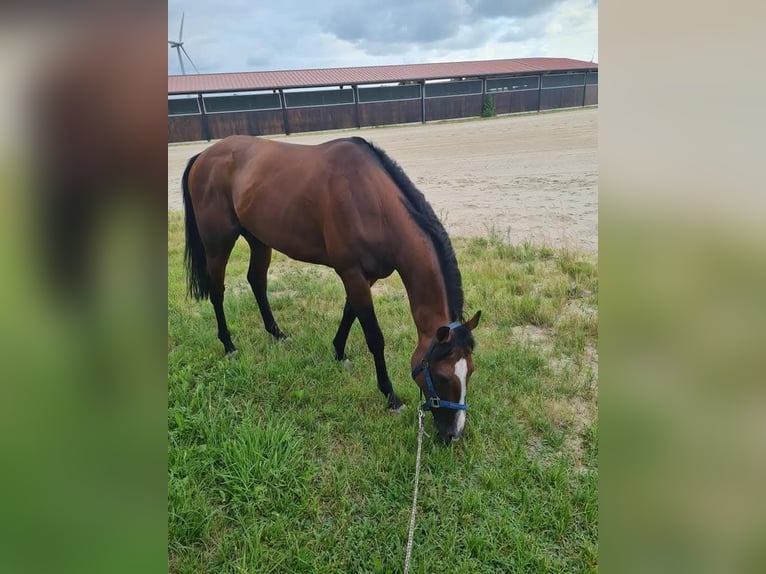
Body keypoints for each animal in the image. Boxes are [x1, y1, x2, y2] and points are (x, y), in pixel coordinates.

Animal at [182, 135, 480, 446]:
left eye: (470, 372)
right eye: (443, 376)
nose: (453, 435)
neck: (372, 201)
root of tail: (204, 155)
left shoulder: (365, 277)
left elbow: (350, 312)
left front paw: (338, 352)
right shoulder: (352, 273)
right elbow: (374, 337)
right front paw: (391, 396)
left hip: (258, 239)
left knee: (257, 281)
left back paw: (277, 333)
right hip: (218, 242)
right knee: (217, 291)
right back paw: (228, 345)